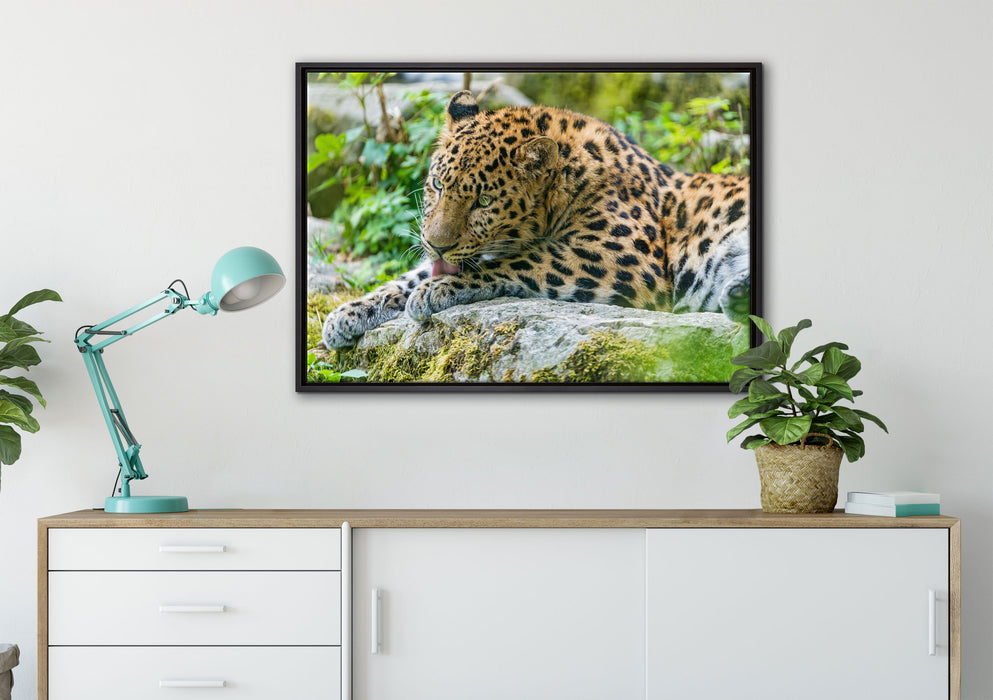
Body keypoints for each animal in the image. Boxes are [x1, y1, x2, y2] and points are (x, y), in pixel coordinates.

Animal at [322, 90, 751, 350]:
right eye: (438, 184)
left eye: (483, 201)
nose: (436, 244)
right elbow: (410, 276)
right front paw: (349, 312)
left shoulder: (624, 258)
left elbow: (526, 260)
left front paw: (436, 290)